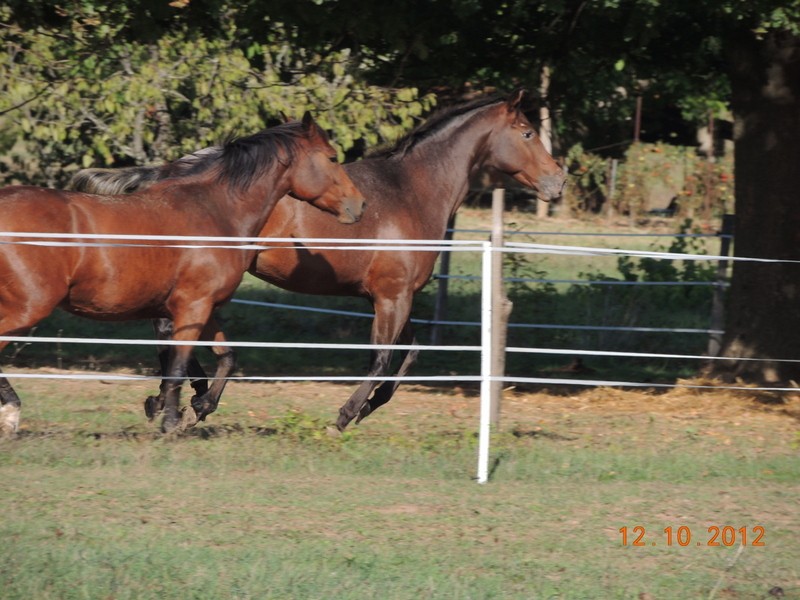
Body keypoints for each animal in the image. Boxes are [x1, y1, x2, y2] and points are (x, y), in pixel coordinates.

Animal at [0, 112, 366, 434]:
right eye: (332, 158)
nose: (359, 205)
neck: (215, 212)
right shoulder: (192, 307)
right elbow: (177, 368)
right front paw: (172, 421)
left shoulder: (201, 308)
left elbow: (227, 358)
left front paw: (194, 407)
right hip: (29, 307)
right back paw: (12, 413)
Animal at [72, 89, 564, 432]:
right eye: (527, 133)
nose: (557, 182)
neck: (412, 191)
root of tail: (170, 171)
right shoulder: (391, 297)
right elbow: (382, 359)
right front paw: (346, 414)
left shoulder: (394, 297)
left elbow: (409, 355)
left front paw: (369, 408)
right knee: (169, 330)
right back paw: (187, 399)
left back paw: (178, 397)